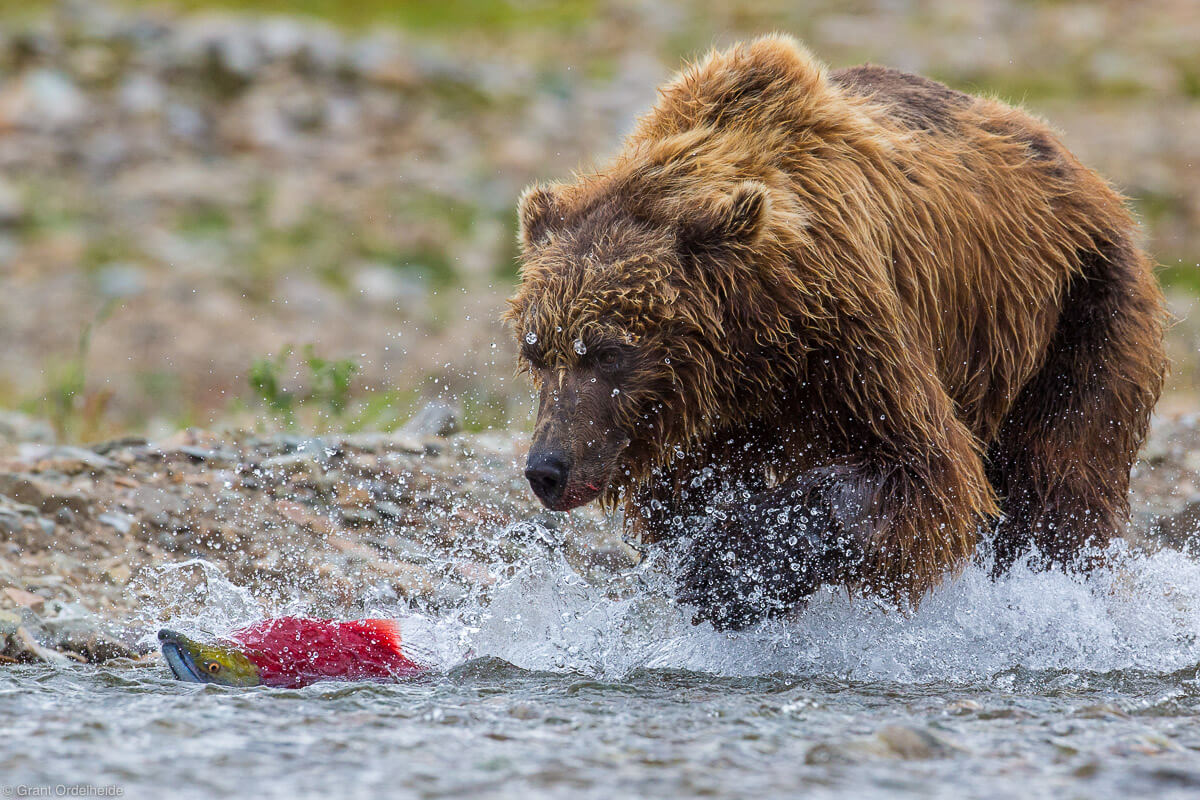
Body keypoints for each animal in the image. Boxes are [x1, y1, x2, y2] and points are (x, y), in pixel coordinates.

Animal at [501, 32, 1166, 633]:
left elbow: (926, 474)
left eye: (608, 352)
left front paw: (730, 566)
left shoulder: (848, 334)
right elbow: (683, 504)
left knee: (1061, 482)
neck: (749, 351)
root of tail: (1084, 172)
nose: (547, 468)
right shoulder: (698, 424)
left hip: (1081, 309)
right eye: (535, 353)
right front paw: (715, 564)